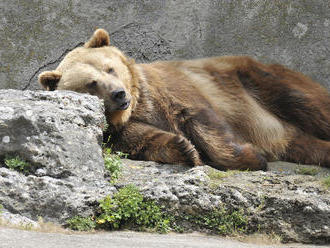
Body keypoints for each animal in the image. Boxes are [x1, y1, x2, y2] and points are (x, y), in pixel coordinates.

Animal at [37, 28, 330, 170]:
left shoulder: (176, 91)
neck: (139, 104)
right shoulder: (121, 129)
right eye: (92, 83)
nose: (119, 94)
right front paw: (184, 148)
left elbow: (205, 122)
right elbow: (141, 138)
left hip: (258, 81)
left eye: (109, 68)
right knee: (306, 144)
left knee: (306, 104)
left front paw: (251, 157)